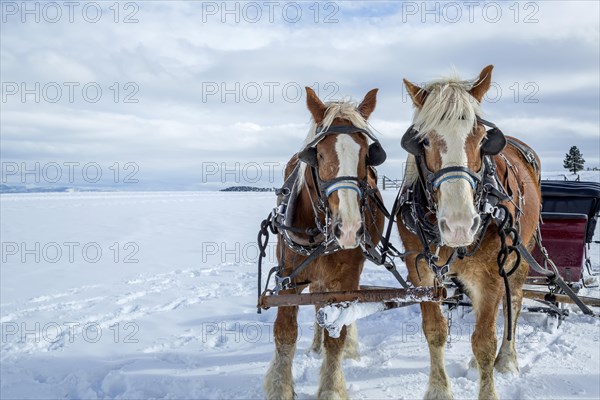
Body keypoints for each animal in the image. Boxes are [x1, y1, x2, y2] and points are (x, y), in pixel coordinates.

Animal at [262, 86, 384, 396]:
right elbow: (285, 333)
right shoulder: (288, 278)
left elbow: (336, 336)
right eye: (317, 153)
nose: (349, 228)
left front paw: (331, 388)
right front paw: (281, 389)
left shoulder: (344, 280)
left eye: (367, 154)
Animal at [396, 64, 540, 398]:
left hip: (521, 254)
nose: (460, 226)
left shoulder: (492, 272)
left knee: (514, 301)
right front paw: (438, 389)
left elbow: (484, 342)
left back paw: (507, 359)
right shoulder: (421, 271)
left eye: (482, 138)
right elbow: (435, 331)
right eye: (423, 141)